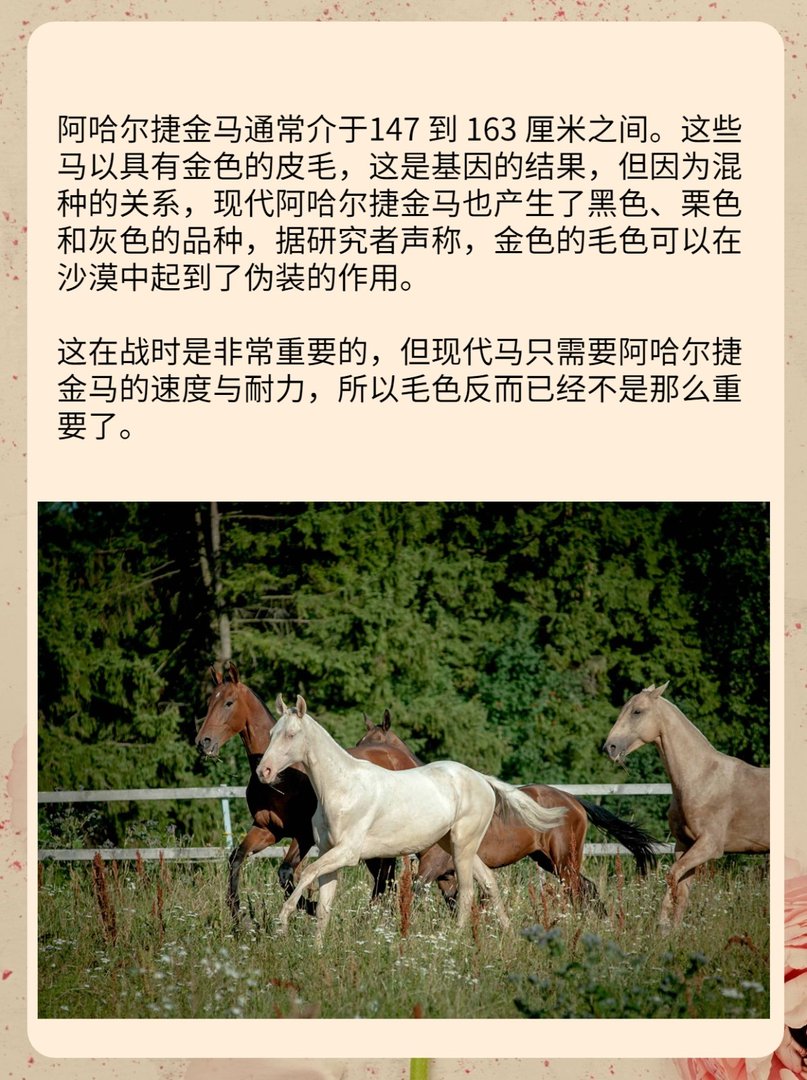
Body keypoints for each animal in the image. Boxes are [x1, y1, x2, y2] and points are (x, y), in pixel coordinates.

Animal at [194, 663, 413, 920]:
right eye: (210, 701)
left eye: (229, 702)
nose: (203, 742)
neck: (284, 779)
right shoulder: (266, 830)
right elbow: (236, 859)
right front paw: (238, 914)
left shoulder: (304, 834)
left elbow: (286, 873)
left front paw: (311, 906)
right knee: (382, 879)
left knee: (386, 879)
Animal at [256, 695, 568, 941]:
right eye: (271, 733)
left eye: (291, 734)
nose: (264, 772)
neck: (341, 788)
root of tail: (481, 779)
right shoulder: (328, 853)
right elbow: (323, 906)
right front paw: (318, 950)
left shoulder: (347, 853)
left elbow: (307, 874)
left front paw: (282, 922)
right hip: (455, 845)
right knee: (489, 881)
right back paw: (508, 934)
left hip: (462, 847)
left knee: (467, 891)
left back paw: (454, 940)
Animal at [356, 712, 659, 907]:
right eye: (360, 744)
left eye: (374, 749)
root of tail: (573, 800)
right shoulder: (447, 877)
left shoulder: (432, 869)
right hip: (548, 861)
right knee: (588, 890)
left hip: (564, 863)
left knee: (580, 891)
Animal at [602, 682, 770, 926]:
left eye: (637, 712)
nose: (609, 748)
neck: (700, 777)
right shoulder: (684, 845)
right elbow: (680, 890)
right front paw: (670, 929)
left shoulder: (709, 846)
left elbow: (672, 877)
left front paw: (664, 924)